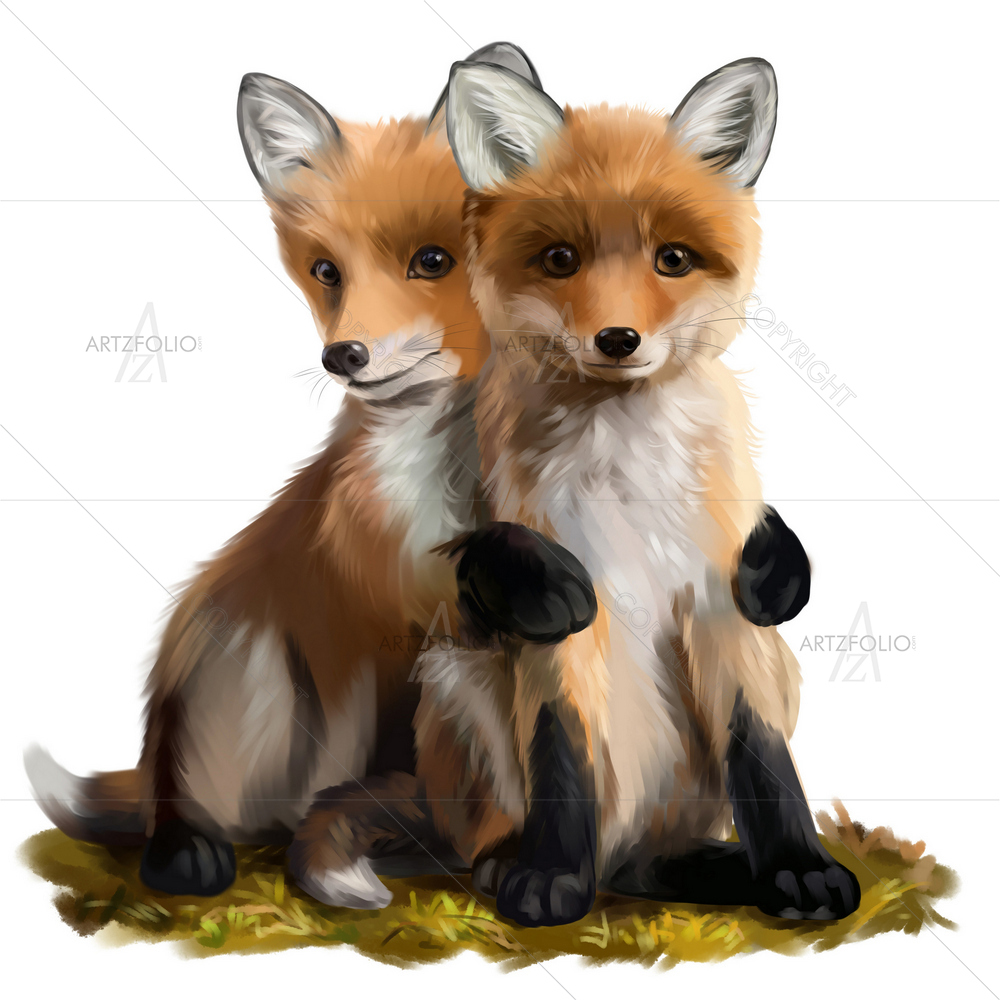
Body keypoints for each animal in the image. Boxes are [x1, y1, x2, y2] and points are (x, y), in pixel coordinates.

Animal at [24, 45, 594, 910]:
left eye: (432, 260)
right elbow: (449, 574)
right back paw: (188, 850)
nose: (343, 356)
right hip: (240, 659)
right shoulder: (381, 567)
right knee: (187, 789)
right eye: (328, 272)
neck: (460, 472)